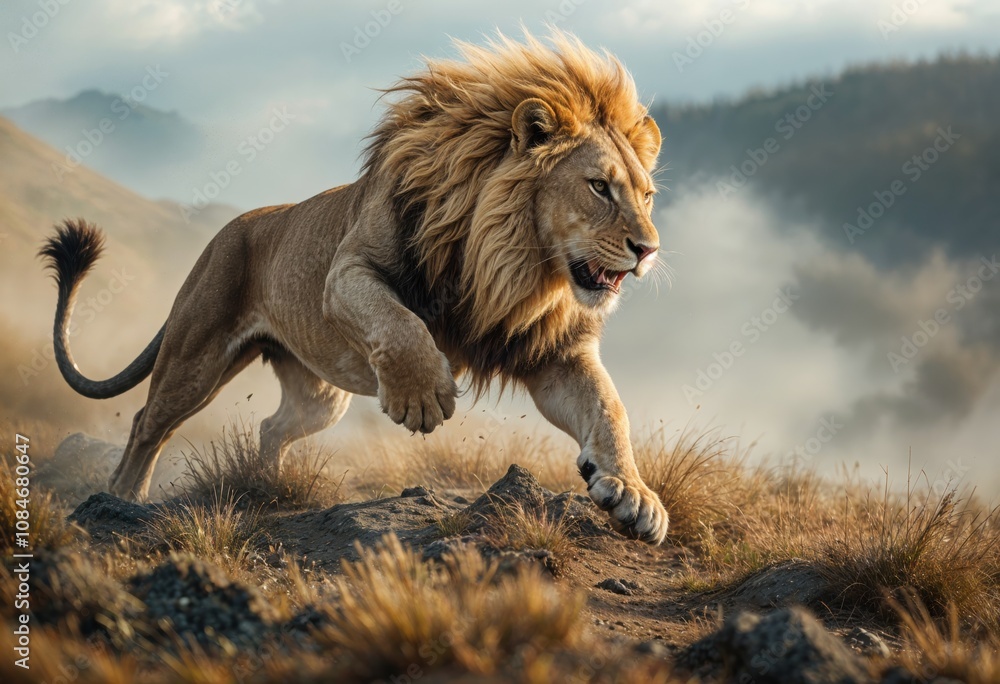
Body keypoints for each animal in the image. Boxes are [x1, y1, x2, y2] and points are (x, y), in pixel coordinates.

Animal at [40, 31, 669, 543]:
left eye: (646, 195)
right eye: (599, 187)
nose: (648, 250)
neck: (511, 268)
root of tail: (228, 231)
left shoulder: (553, 352)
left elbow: (609, 407)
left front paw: (633, 495)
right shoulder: (346, 275)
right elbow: (401, 323)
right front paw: (422, 398)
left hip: (320, 396)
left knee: (272, 427)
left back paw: (265, 485)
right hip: (195, 358)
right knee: (148, 423)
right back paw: (121, 499)